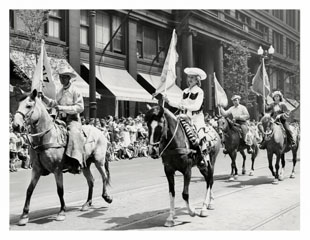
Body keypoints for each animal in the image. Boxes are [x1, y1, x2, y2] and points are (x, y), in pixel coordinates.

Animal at [13, 89, 114, 226]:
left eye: (28, 106)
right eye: (18, 105)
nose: (15, 126)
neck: (46, 137)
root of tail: (100, 131)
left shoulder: (57, 170)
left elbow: (60, 190)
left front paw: (61, 212)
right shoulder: (36, 170)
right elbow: (29, 190)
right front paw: (24, 215)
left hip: (99, 161)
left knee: (104, 177)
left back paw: (107, 197)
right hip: (85, 165)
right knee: (91, 181)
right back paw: (87, 203)